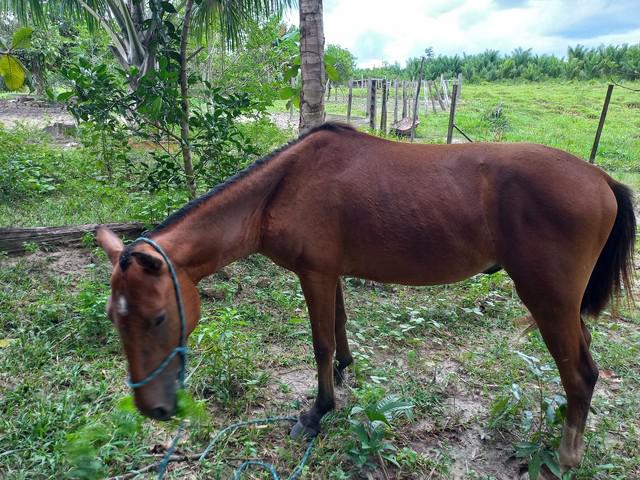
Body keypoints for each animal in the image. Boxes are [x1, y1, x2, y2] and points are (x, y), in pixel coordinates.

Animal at [96, 123, 636, 472]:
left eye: (157, 318)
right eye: (114, 320)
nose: (152, 409)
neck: (280, 189)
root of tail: (601, 178)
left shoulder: (313, 275)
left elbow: (319, 343)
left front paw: (317, 412)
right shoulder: (330, 273)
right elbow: (338, 328)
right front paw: (343, 373)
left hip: (549, 303)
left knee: (580, 375)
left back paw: (566, 456)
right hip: (563, 307)